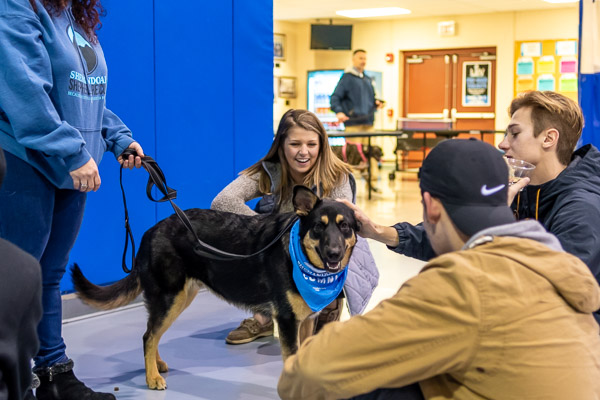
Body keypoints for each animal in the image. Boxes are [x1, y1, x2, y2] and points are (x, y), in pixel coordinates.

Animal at [70, 186, 360, 390]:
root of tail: (151, 231)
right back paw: (151, 377)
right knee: (148, 336)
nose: (334, 254)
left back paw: (156, 365)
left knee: (152, 332)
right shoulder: (288, 321)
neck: (299, 256)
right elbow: (292, 359)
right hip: (170, 298)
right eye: (318, 227)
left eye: (344, 226)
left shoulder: (306, 320)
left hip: (180, 298)